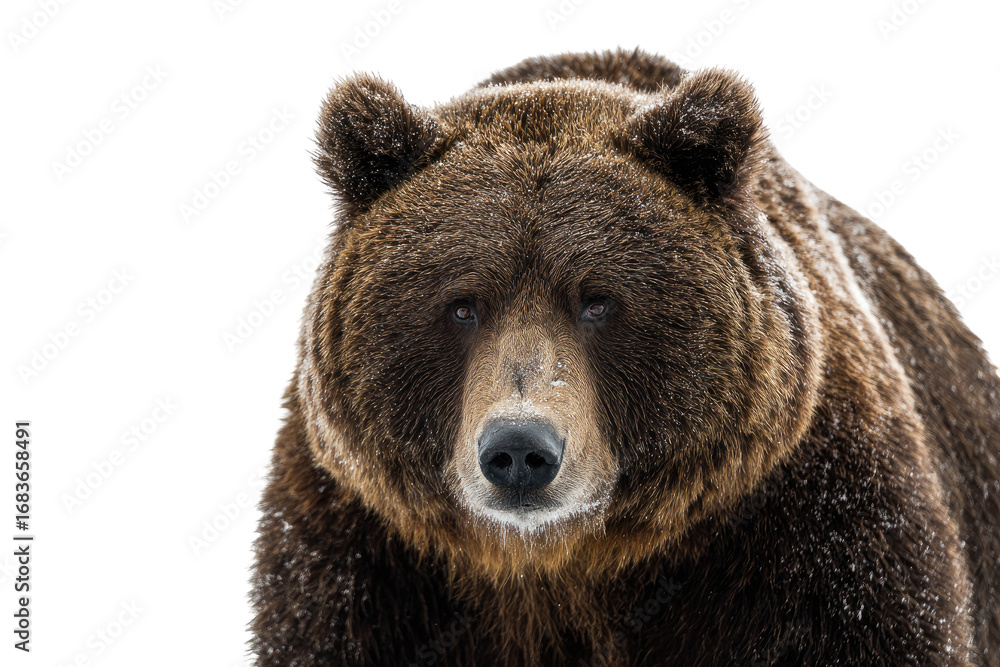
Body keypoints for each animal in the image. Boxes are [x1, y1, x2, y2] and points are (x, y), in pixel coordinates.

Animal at [250, 48, 1000, 666]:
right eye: (462, 303)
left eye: (598, 300)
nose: (519, 449)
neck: (566, 561)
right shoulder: (363, 558)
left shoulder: (813, 532)